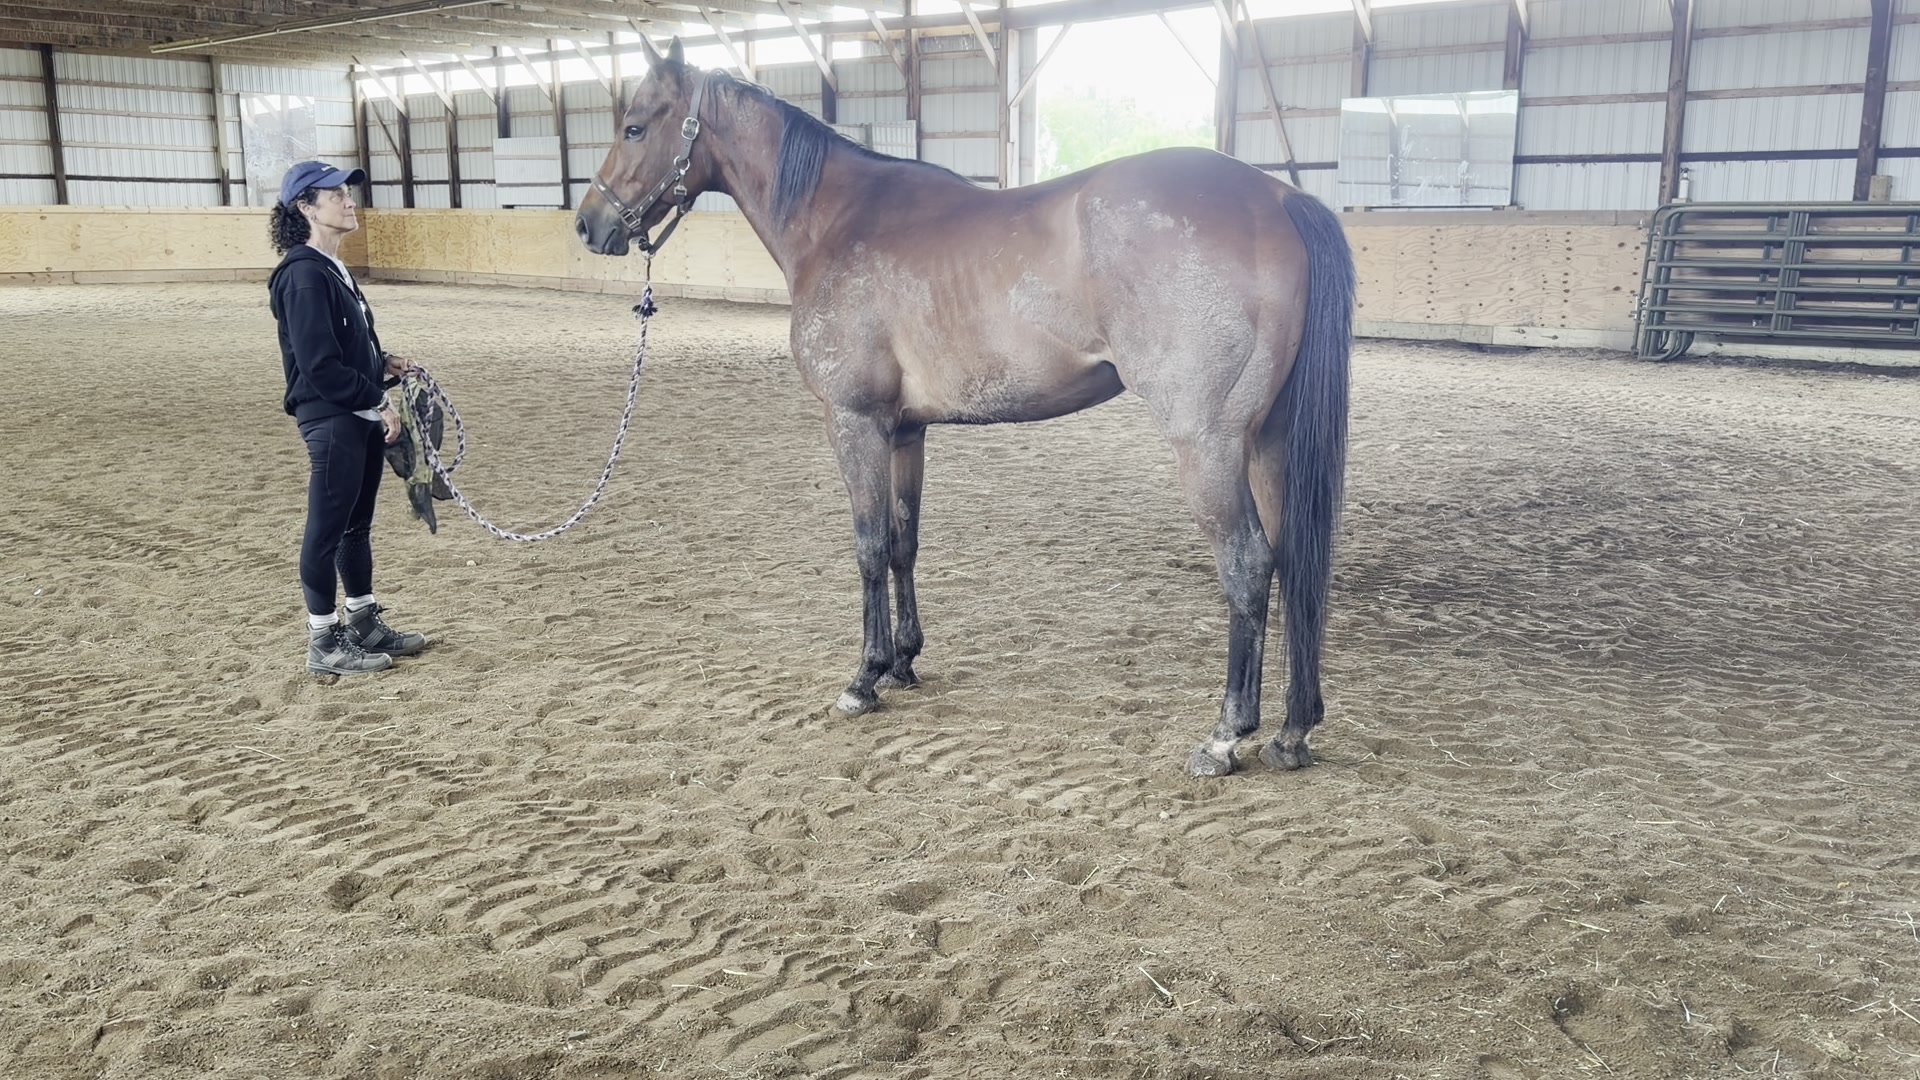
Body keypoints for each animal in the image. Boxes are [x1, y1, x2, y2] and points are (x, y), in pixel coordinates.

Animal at [576, 38, 1353, 778]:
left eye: (634, 124)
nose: (588, 224)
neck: (837, 221)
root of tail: (1278, 200)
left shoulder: (853, 422)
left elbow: (866, 545)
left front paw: (863, 679)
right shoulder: (905, 432)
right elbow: (902, 542)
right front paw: (903, 662)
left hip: (1208, 446)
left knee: (1248, 566)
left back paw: (1226, 737)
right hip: (1271, 443)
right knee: (1294, 561)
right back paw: (1292, 731)